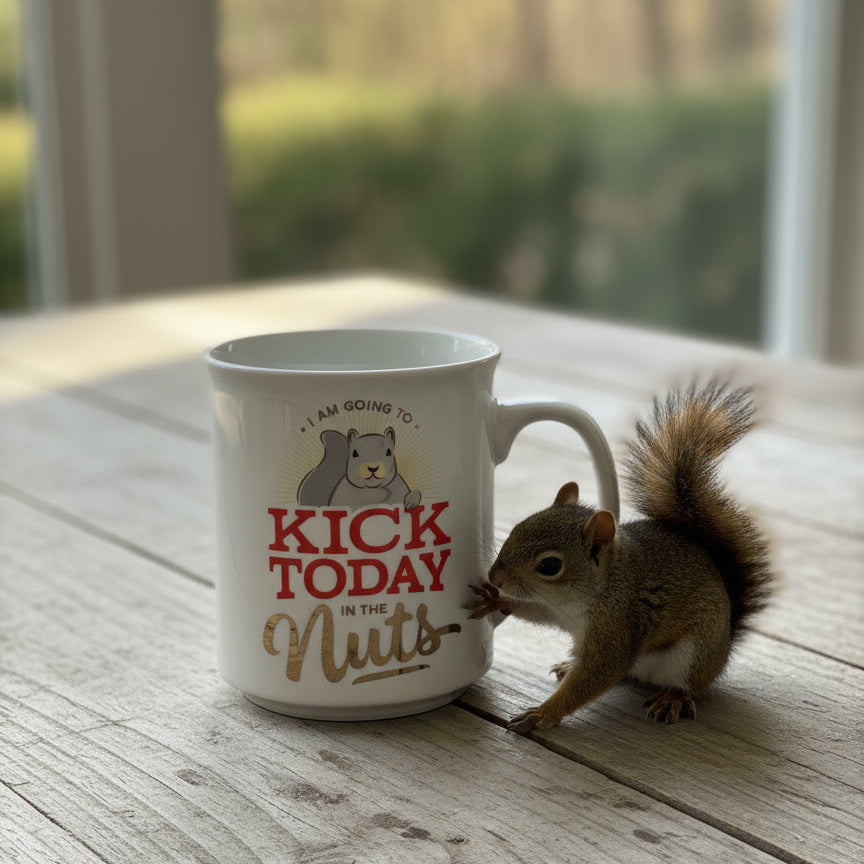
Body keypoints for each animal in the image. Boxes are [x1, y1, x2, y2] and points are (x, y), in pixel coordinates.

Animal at [465, 382, 773, 732]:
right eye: (517, 527)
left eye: (550, 565)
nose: (495, 578)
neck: (591, 592)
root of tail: (725, 644)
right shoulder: (555, 610)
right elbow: (534, 611)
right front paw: (495, 600)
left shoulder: (617, 623)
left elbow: (602, 671)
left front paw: (543, 712)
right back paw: (569, 663)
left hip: (696, 653)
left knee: (688, 683)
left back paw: (673, 698)